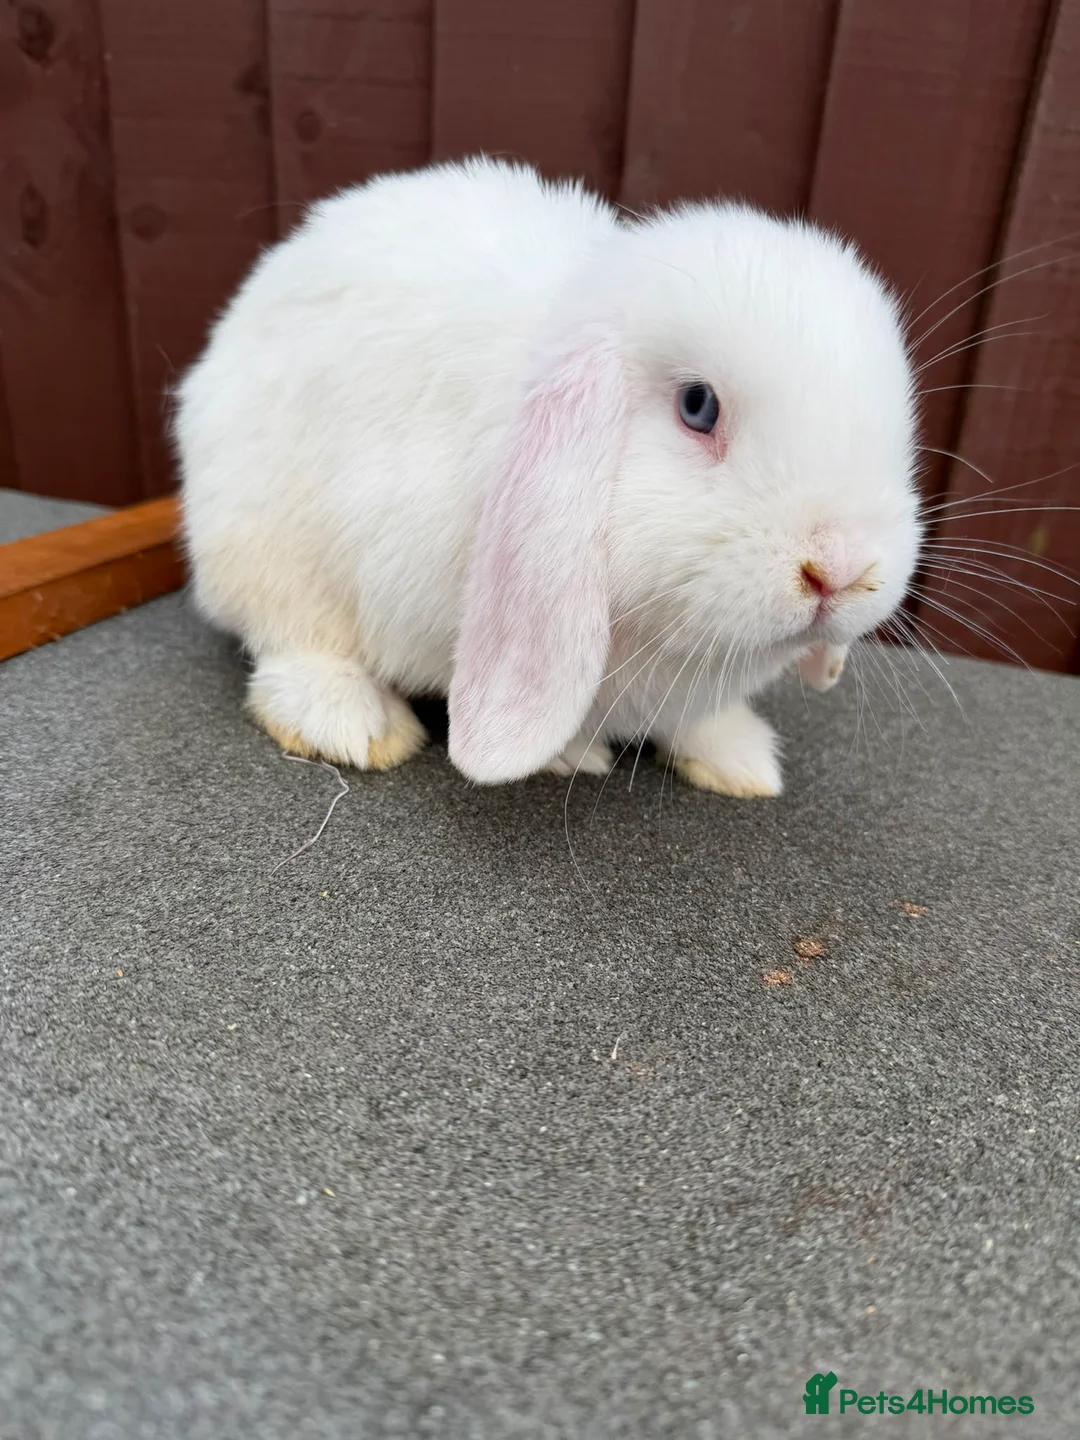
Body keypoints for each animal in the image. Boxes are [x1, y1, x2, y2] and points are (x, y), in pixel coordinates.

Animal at [176, 156, 920, 797]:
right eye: (697, 407)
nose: (840, 570)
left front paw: (738, 758)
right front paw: (570, 754)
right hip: (263, 542)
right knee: (292, 639)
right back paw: (355, 724)